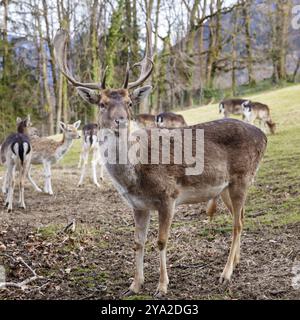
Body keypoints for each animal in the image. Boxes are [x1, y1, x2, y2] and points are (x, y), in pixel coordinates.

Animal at [54, 21, 268, 298]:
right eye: (101, 103)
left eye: (129, 102)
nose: (121, 120)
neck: (135, 177)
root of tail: (264, 136)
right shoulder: (138, 205)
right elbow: (137, 242)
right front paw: (135, 285)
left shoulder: (169, 196)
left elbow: (161, 241)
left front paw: (162, 286)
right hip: (223, 188)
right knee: (240, 216)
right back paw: (237, 262)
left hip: (243, 177)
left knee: (238, 224)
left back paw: (226, 273)